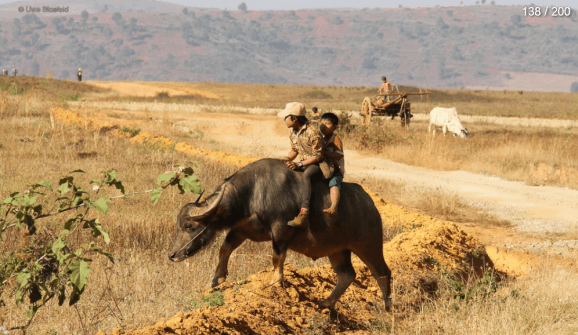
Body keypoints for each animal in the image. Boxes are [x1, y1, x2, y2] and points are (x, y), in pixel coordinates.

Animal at [166, 159, 392, 312]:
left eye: (189, 226)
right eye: (178, 225)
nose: (172, 255)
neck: (252, 192)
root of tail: (371, 205)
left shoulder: (280, 228)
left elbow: (277, 256)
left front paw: (275, 282)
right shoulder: (240, 229)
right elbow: (225, 249)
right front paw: (217, 279)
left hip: (369, 245)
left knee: (382, 273)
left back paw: (387, 308)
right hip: (337, 250)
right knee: (347, 275)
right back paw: (324, 303)